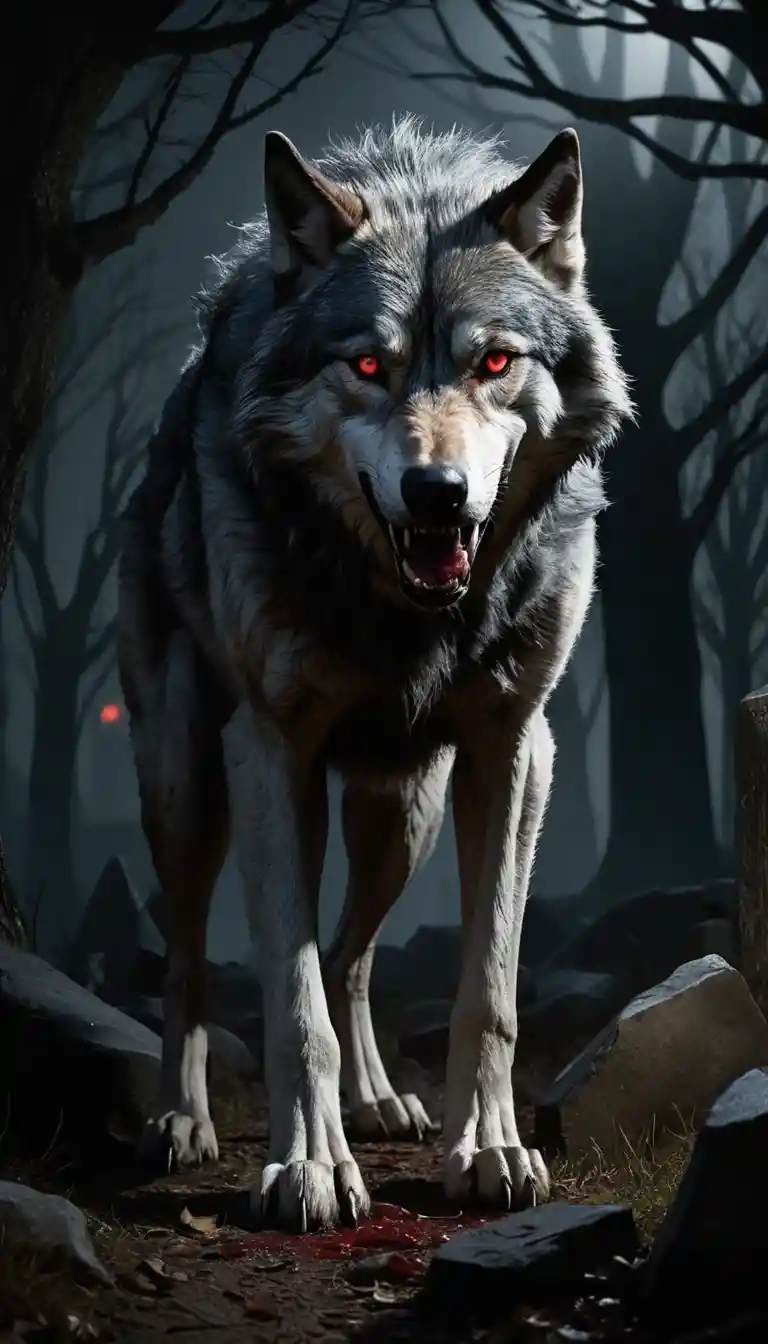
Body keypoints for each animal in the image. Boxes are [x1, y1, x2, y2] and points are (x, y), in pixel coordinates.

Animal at [118, 116, 633, 1234]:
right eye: (365, 363)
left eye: (494, 360)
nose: (436, 492)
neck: (409, 615)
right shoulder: (270, 753)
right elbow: (291, 1002)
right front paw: (307, 1168)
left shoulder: (512, 752)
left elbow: (488, 990)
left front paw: (489, 1150)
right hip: (188, 790)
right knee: (190, 957)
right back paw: (182, 1121)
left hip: (403, 814)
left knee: (351, 952)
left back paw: (382, 1101)